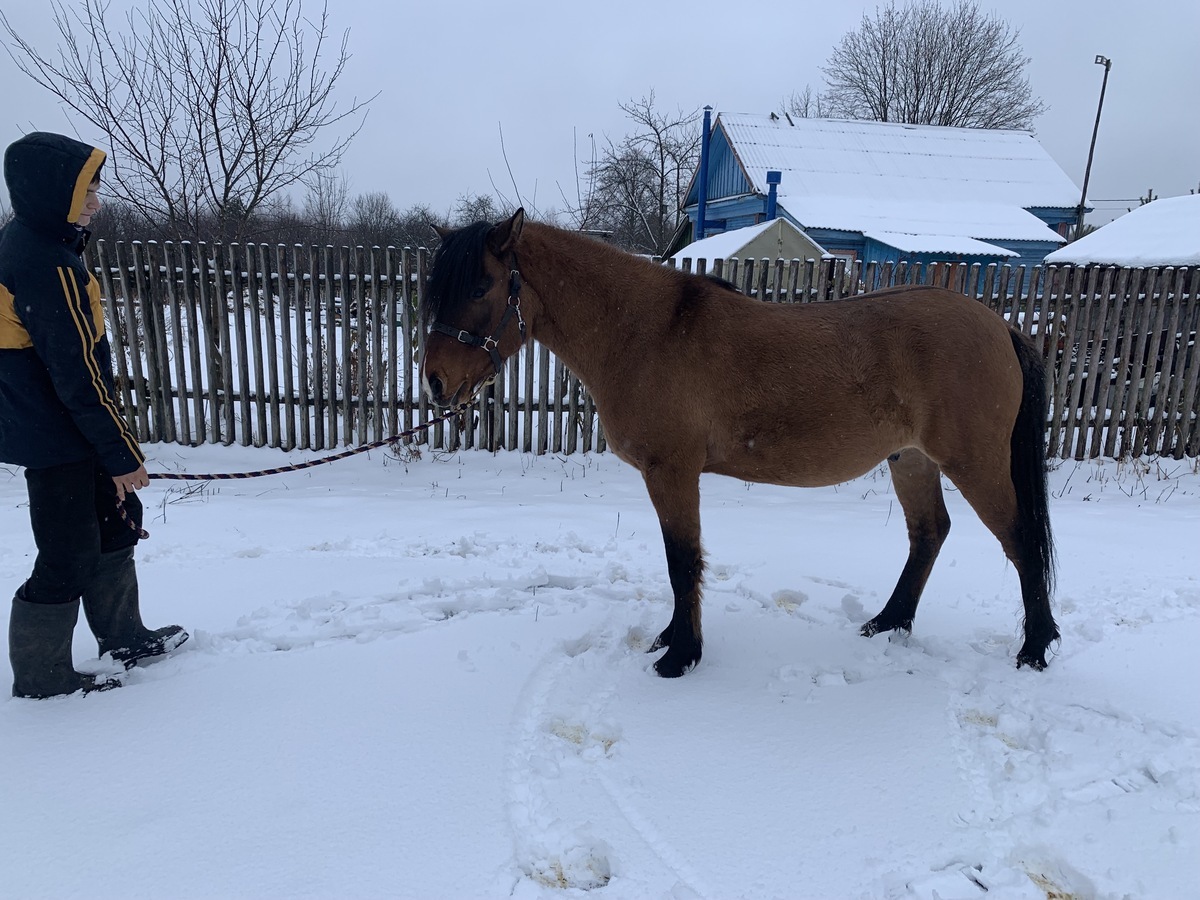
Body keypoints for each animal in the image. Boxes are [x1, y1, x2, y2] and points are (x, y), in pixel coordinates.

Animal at [422, 211, 1060, 676]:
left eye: (480, 286)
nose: (435, 382)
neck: (648, 329)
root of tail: (1000, 324)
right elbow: (680, 561)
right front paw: (671, 639)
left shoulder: (672, 472)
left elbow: (683, 560)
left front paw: (681, 655)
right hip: (912, 461)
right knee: (929, 534)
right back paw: (889, 623)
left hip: (974, 463)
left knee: (1020, 538)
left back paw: (1034, 649)